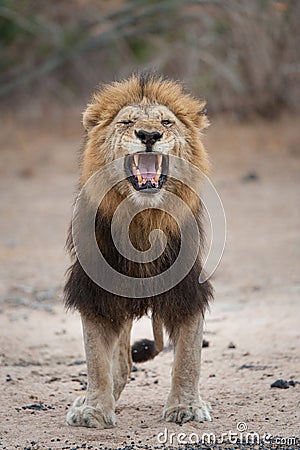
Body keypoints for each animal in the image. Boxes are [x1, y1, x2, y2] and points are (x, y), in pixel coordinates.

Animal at [63, 72, 213, 428]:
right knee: (121, 362)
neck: (143, 221)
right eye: (127, 122)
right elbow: (97, 361)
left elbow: (188, 358)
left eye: (166, 122)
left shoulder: (188, 290)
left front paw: (185, 407)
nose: (149, 135)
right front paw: (94, 409)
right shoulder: (96, 293)